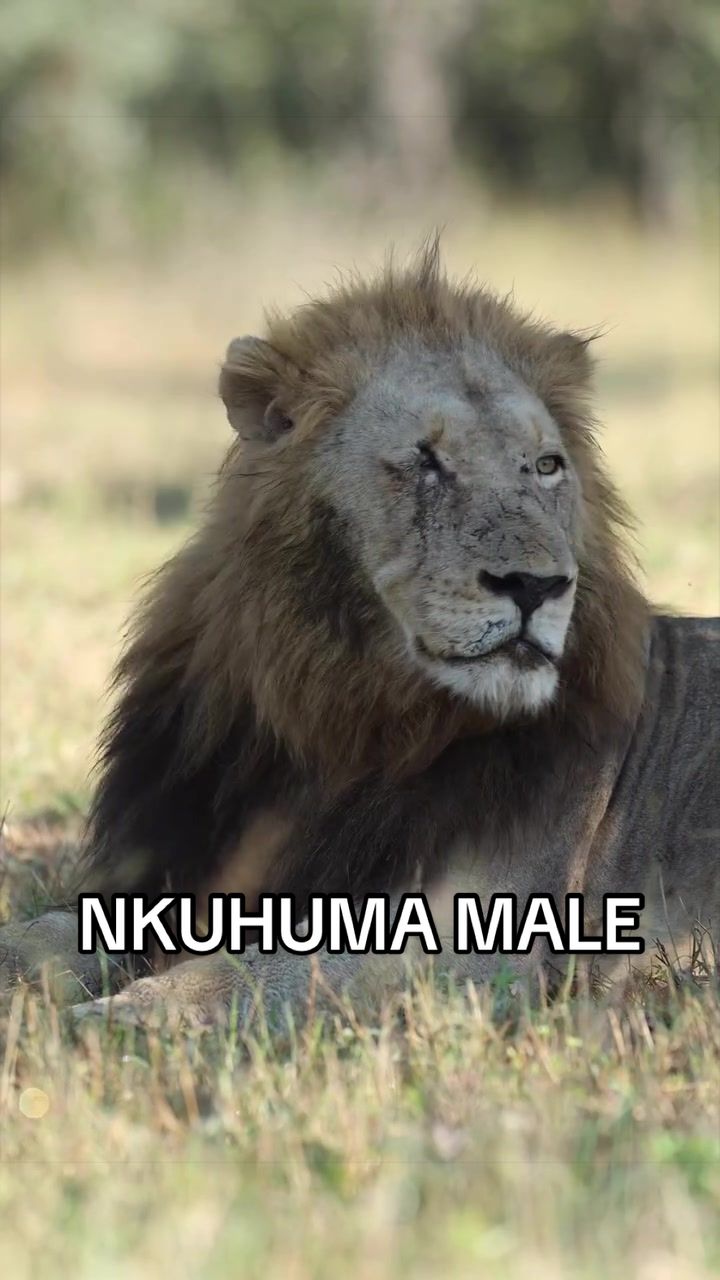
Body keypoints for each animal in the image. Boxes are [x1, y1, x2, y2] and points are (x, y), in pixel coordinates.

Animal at [1, 242, 717, 1026]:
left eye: (546, 466)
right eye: (426, 460)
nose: (540, 586)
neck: (340, 713)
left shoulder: (480, 938)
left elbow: (250, 971)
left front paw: (114, 1019)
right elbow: (41, 932)